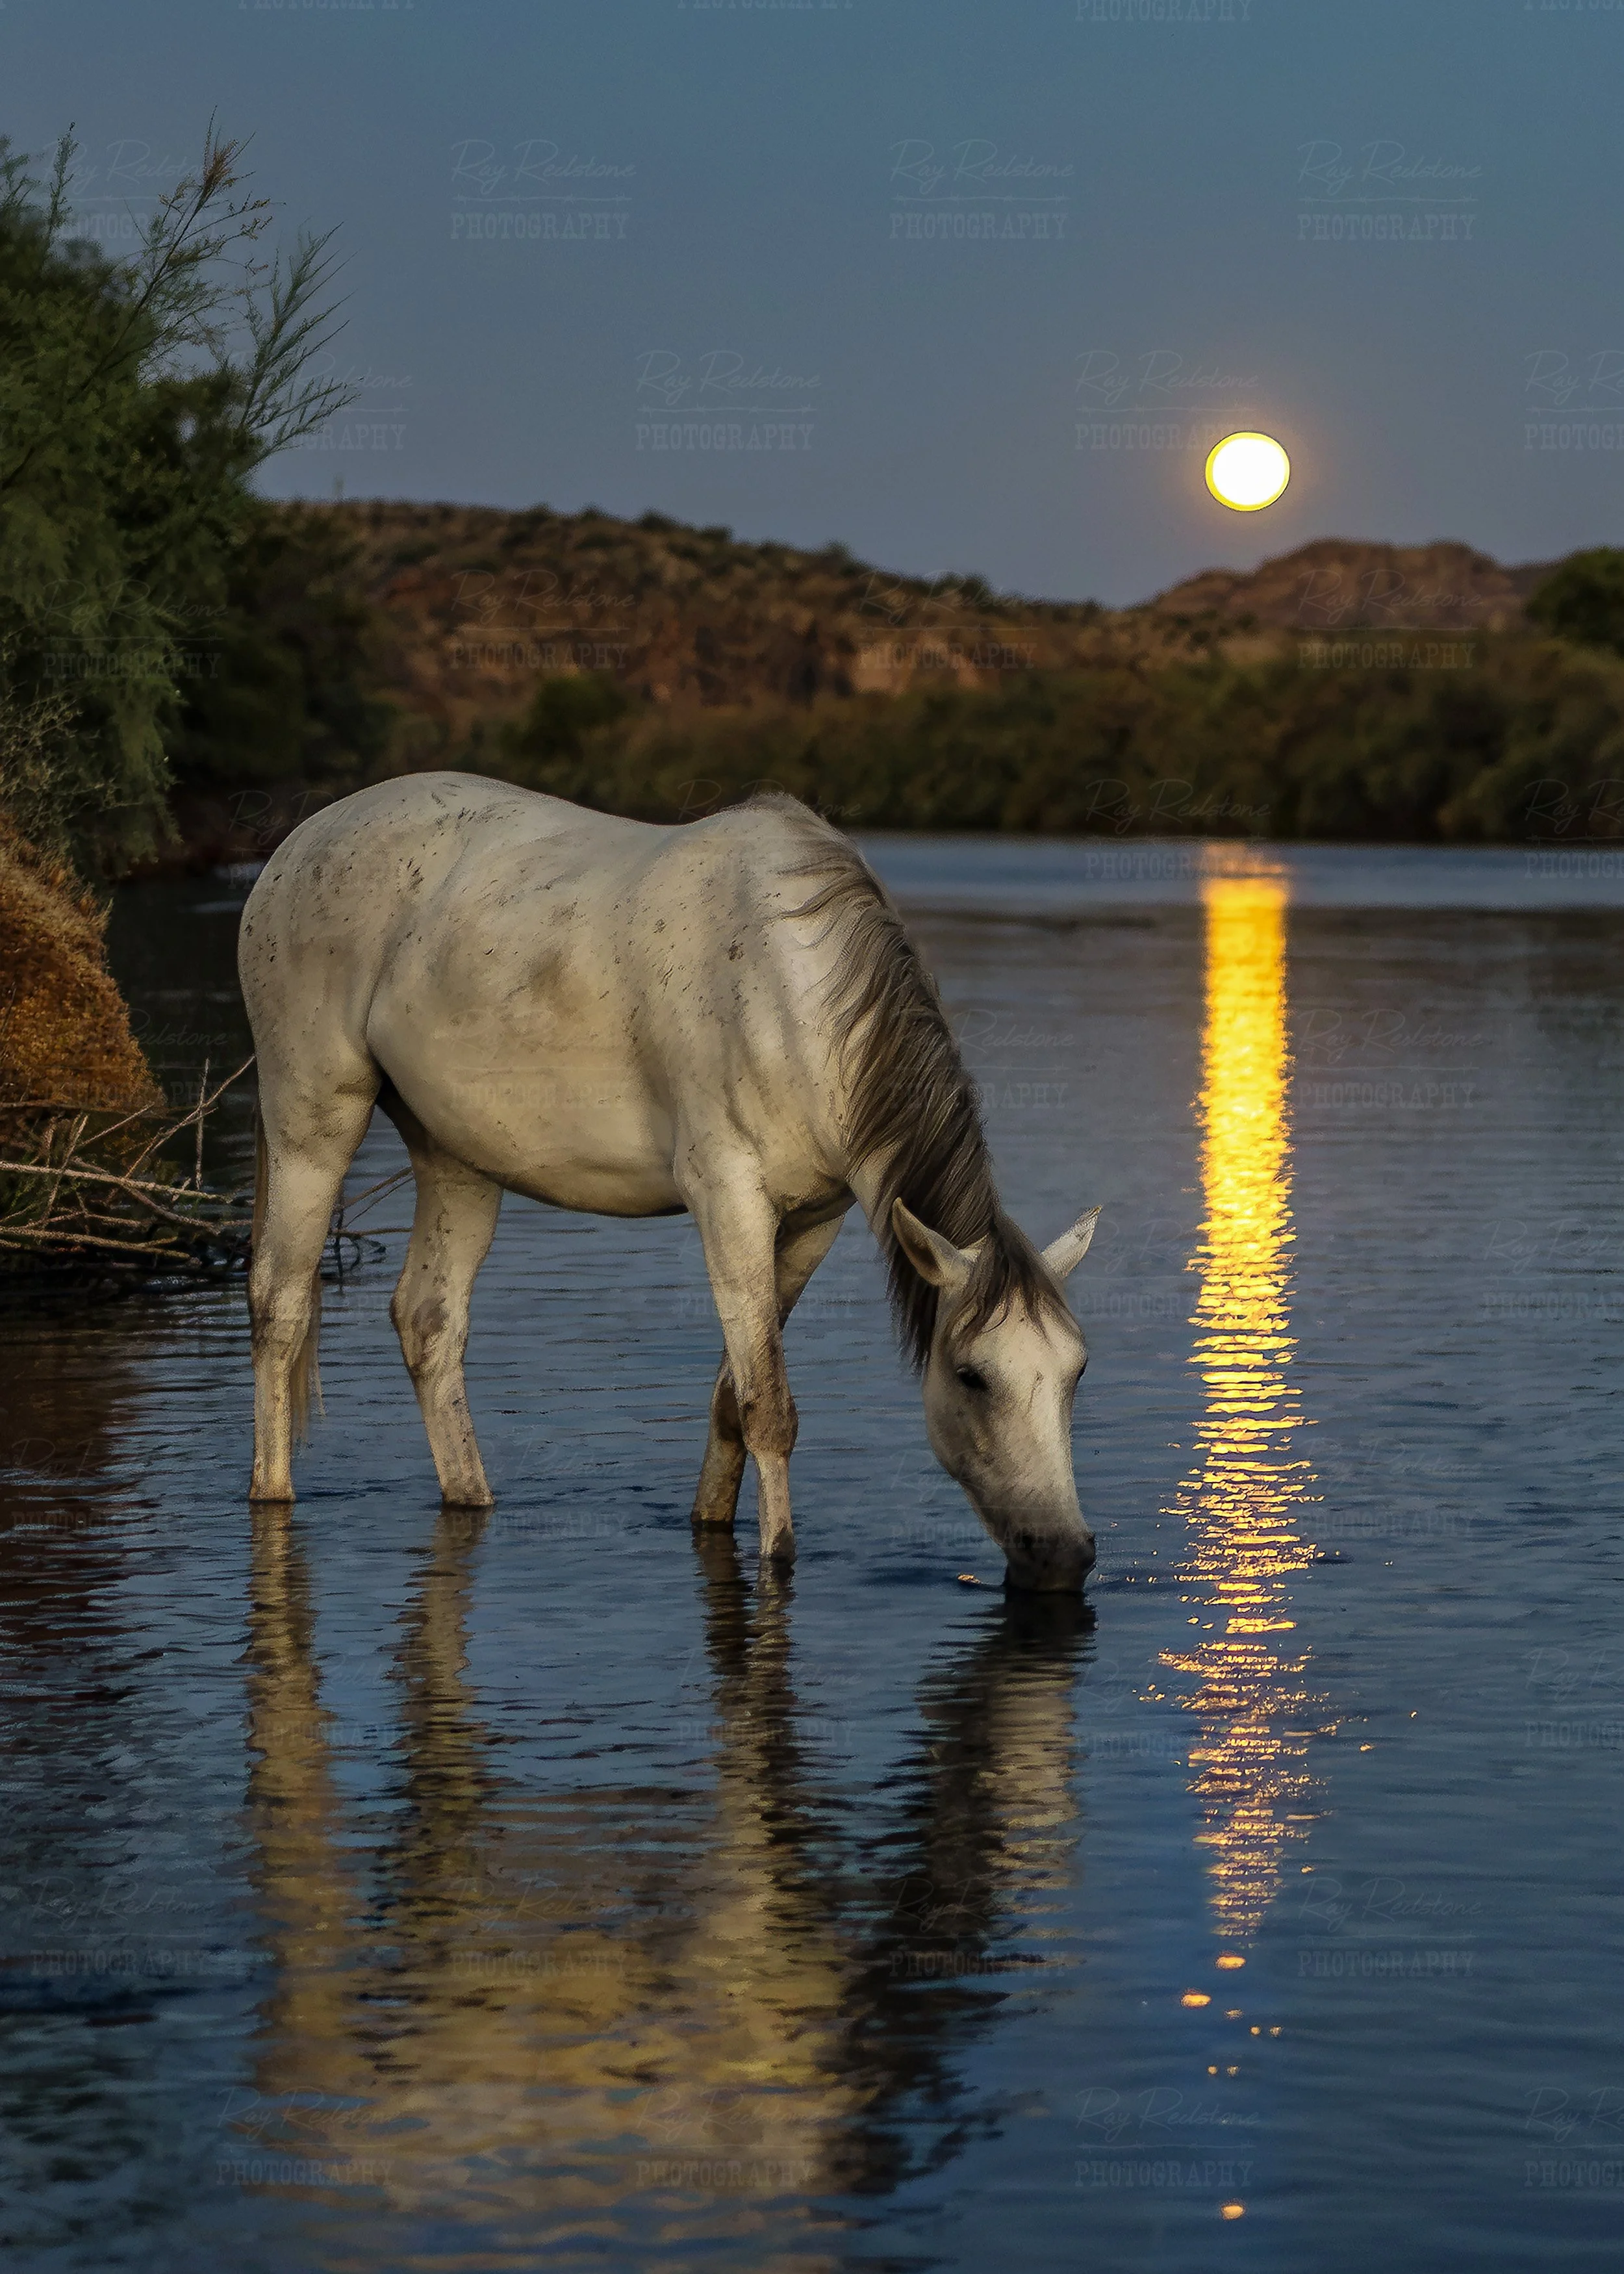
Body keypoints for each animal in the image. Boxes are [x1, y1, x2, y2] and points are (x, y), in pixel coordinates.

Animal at [239, 774, 1101, 1590]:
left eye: (1076, 1370)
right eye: (971, 1376)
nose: (1063, 1555)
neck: (790, 995)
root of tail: (296, 845)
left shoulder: (810, 1222)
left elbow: (731, 1394)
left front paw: (712, 1523)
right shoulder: (729, 1198)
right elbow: (768, 1406)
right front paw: (779, 1560)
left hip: (456, 1156)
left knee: (429, 1321)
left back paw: (471, 1495)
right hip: (312, 1118)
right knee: (280, 1303)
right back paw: (270, 1491)